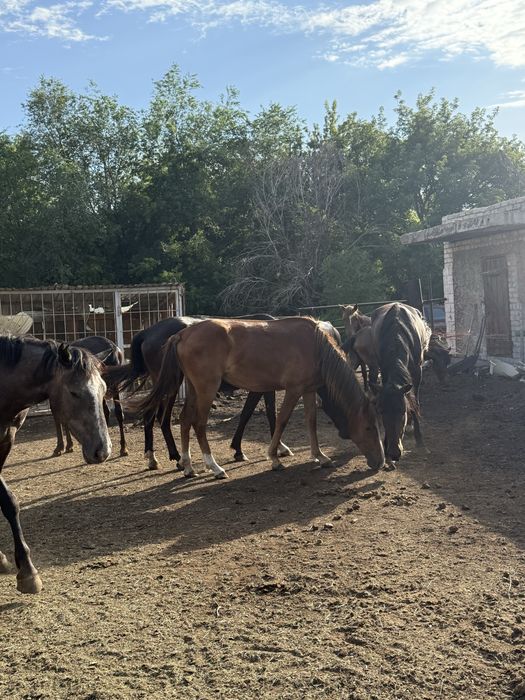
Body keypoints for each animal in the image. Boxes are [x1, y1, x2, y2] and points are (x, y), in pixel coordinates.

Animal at [0, 335, 111, 594]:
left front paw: (26, 569)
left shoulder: (4, 442)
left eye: (104, 389)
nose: (103, 450)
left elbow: (9, 503)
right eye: (74, 392)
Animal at [106, 315, 293, 470]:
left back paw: (158, 458)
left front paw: (240, 449)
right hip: (171, 384)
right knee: (160, 418)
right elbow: (263, 413)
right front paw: (277, 448)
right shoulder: (262, 387)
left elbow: (253, 413)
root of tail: (147, 332)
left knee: (154, 416)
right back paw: (174, 457)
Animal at [136, 317, 385, 479]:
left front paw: (320, 456)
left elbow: (311, 422)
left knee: (186, 420)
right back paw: (214, 467)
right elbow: (281, 420)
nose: (381, 462)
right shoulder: (293, 389)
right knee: (198, 423)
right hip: (206, 388)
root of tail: (182, 334)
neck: (315, 346)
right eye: (369, 427)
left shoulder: (308, 390)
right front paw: (274, 457)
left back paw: (188, 465)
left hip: (194, 389)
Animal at [368, 303, 431, 464]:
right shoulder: (384, 371)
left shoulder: (417, 373)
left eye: (402, 411)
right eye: (381, 411)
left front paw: (420, 440)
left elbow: (415, 403)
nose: (394, 452)